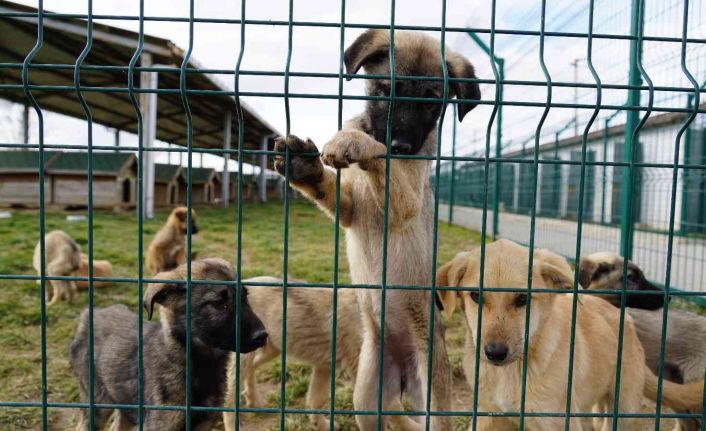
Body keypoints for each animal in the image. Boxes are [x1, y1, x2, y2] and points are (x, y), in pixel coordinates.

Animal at [69, 258, 266, 430]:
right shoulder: (159, 423)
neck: (201, 365)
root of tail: (89, 314)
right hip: (97, 402)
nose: (263, 336)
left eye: (245, 297)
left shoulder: (204, 423)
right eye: (218, 303)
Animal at [221, 278, 364, 430]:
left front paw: (321, 425)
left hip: (270, 350)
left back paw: (253, 400)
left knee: (251, 368)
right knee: (229, 397)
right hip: (245, 357)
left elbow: (316, 399)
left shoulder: (324, 366)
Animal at [272, 28, 482, 430]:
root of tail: (402, 373)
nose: (401, 144)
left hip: (433, 395)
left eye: (430, 103)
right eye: (385, 90)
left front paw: (355, 142)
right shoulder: (350, 209)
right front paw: (305, 167)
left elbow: (381, 159)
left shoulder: (405, 201)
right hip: (366, 399)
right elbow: (332, 188)